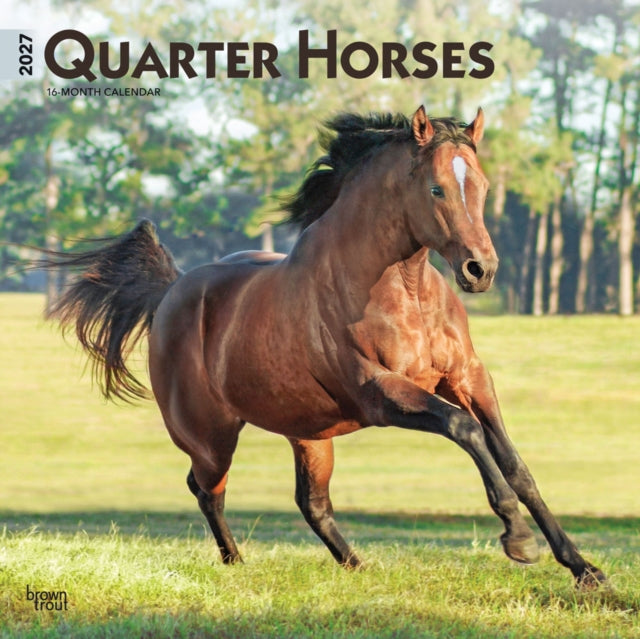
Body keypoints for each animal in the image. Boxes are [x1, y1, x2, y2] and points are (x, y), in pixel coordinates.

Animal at [40, 106, 605, 588]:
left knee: (309, 502)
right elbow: (465, 430)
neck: (405, 289)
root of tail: (172, 291)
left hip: (310, 434)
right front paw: (519, 540)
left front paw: (585, 569)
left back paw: (358, 566)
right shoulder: (379, 392)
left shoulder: (467, 377)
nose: (479, 270)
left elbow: (515, 464)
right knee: (206, 489)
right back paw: (238, 563)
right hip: (211, 437)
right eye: (437, 189)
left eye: (483, 186)